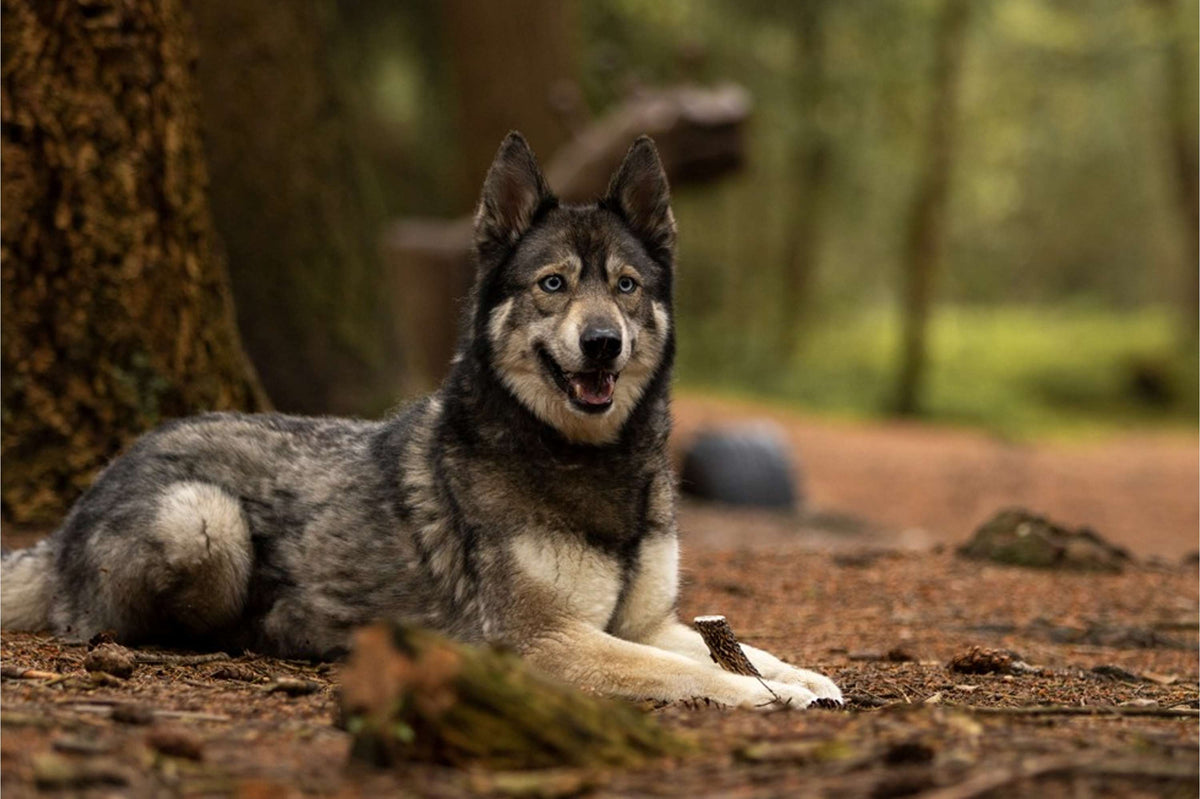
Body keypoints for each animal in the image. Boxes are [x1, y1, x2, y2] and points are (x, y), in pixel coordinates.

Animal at [2, 131, 844, 710]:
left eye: (627, 285)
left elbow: (744, 648)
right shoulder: (546, 641)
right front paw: (773, 697)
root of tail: (77, 507)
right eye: (553, 284)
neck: (589, 460)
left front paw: (808, 678)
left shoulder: (643, 623)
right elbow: (693, 669)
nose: (603, 341)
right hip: (203, 520)